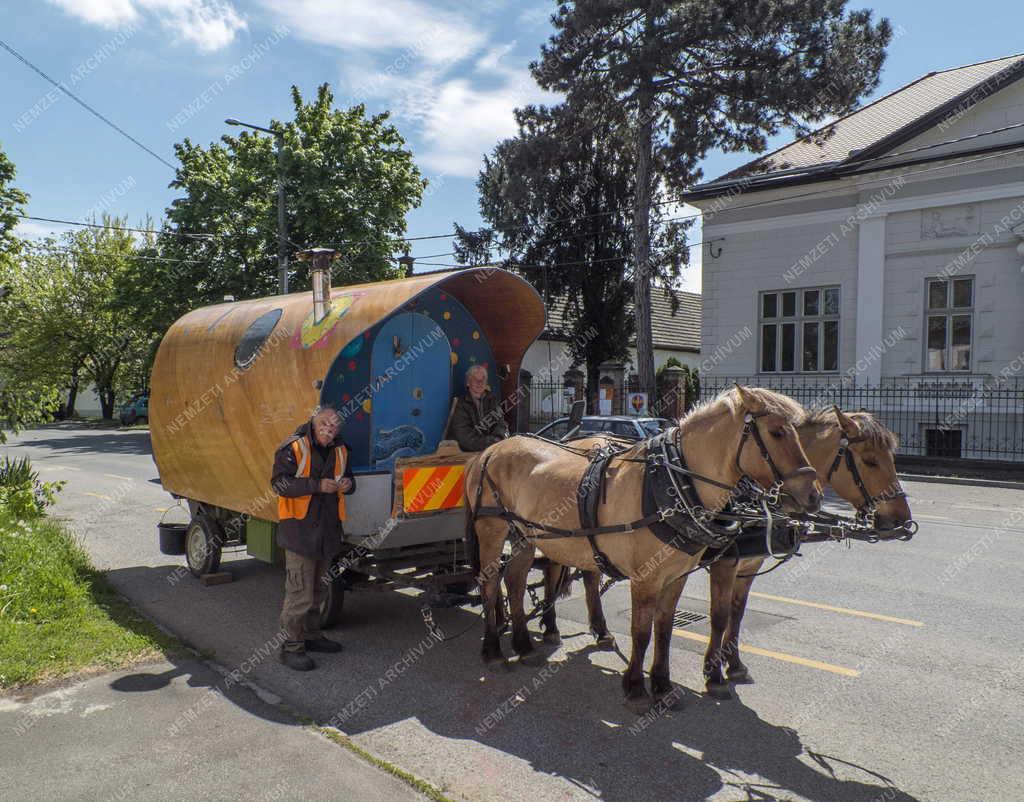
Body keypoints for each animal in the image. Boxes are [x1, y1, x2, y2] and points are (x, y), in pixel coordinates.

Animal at [464, 389, 823, 708]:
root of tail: (490, 451)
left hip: (526, 534)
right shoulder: (648, 578)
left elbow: (664, 629)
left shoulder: (676, 576)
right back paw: (494, 650)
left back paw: (525, 645)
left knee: (516, 580)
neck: (673, 486)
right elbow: (642, 632)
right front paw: (637, 687)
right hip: (493, 529)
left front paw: (663, 685)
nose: (814, 495)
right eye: (776, 432)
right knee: (491, 583)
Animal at [536, 411, 913, 700]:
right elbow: (718, 617)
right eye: (870, 460)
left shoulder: (748, 566)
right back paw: (553, 625)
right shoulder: (726, 565)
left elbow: (737, 614)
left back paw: (599, 629)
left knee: (589, 574)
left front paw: (734, 664)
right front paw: (714, 673)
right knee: (556, 567)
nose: (903, 521)